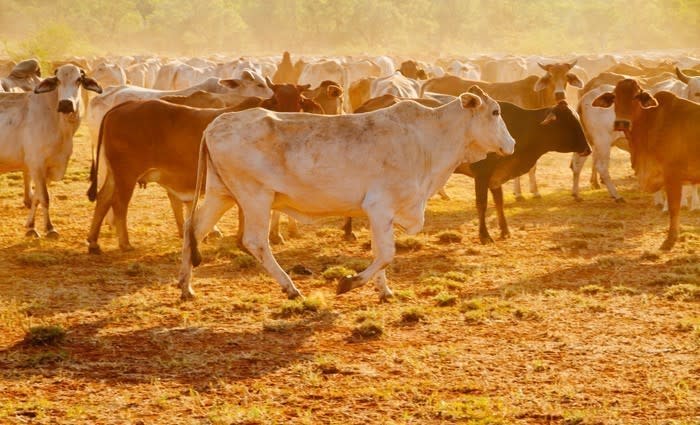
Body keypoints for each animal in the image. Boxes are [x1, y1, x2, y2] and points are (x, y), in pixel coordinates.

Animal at [0, 64, 102, 238]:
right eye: (58, 80)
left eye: (79, 80)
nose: (66, 104)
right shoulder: (36, 164)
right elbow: (45, 197)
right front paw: (49, 228)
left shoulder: (48, 167)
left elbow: (37, 197)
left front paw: (31, 226)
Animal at [85, 80, 320, 254]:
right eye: (277, 99)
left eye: (299, 100)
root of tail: (122, 106)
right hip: (127, 174)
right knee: (119, 204)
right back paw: (124, 243)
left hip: (115, 173)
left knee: (103, 198)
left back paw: (94, 242)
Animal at [176, 86, 516, 302]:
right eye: (495, 112)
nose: (511, 144)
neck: (429, 138)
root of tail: (216, 123)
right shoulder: (380, 206)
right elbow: (386, 253)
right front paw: (348, 283)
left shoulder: (382, 214)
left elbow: (380, 252)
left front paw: (384, 291)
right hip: (255, 197)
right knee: (255, 242)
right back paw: (291, 288)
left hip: (221, 194)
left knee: (194, 228)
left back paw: (185, 287)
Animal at [454, 101, 591, 243]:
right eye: (568, 122)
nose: (588, 149)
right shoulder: (482, 173)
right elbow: (482, 203)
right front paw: (484, 235)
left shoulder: (496, 177)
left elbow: (499, 201)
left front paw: (505, 230)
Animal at [591, 79, 700, 250]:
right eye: (614, 96)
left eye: (636, 96)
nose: (622, 123)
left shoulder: (673, 176)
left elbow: (674, 208)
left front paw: (669, 240)